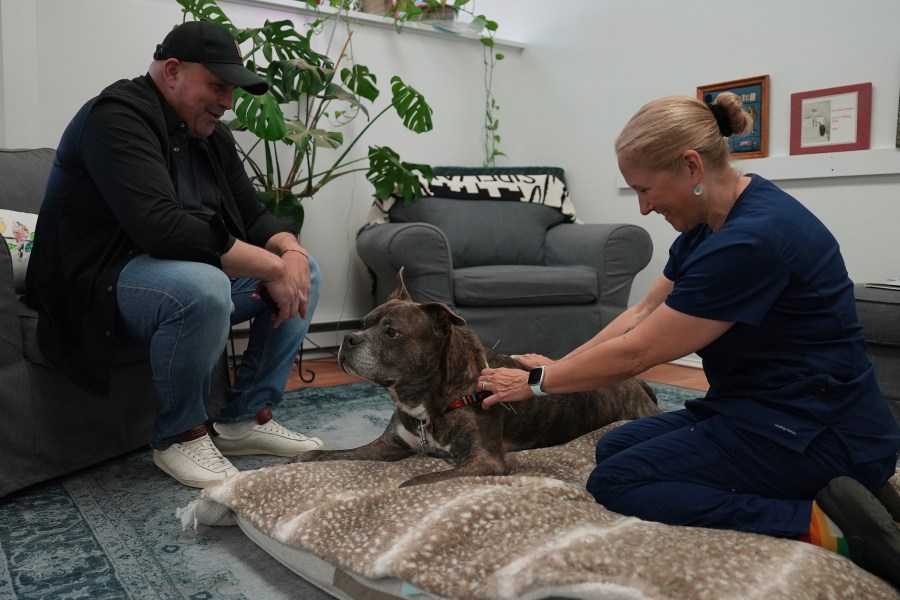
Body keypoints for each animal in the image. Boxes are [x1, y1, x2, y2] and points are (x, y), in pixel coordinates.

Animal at [292, 270, 664, 486]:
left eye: (392, 332)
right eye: (364, 323)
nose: (348, 339)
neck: (426, 401)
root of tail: (638, 383)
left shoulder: (482, 461)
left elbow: (418, 480)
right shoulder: (389, 445)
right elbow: (335, 454)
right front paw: (300, 459)